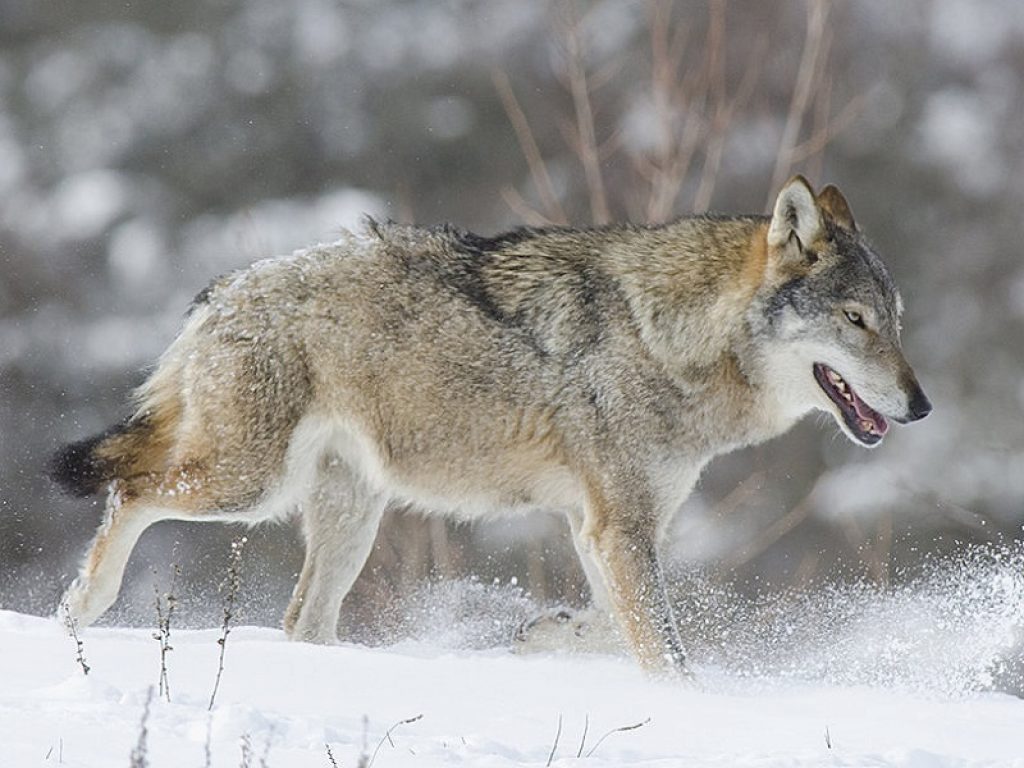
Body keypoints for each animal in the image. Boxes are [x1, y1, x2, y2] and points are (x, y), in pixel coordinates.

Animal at [49, 176, 930, 676]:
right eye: (855, 321)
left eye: (895, 321)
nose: (920, 405)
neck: (668, 336)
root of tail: (223, 292)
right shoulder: (617, 528)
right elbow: (664, 651)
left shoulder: (608, 529)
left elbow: (612, 626)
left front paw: (544, 636)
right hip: (248, 486)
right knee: (130, 490)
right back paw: (78, 613)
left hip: (347, 511)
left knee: (303, 621)